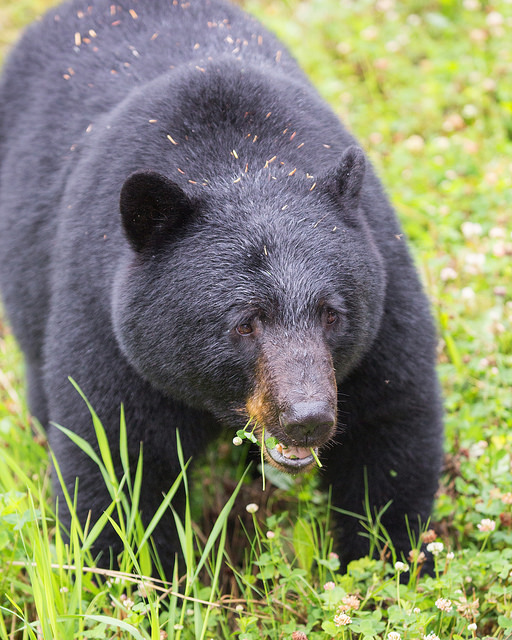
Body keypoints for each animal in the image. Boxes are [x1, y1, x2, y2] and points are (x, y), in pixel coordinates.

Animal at [0, 0, 443, 574]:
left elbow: (388, 428)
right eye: (245, 323)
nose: (307, 419)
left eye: (332, 314)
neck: (240, 160)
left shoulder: (383, 296)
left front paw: (385, 562)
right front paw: (136, 578)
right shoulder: (105, 319)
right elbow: (116, 456)